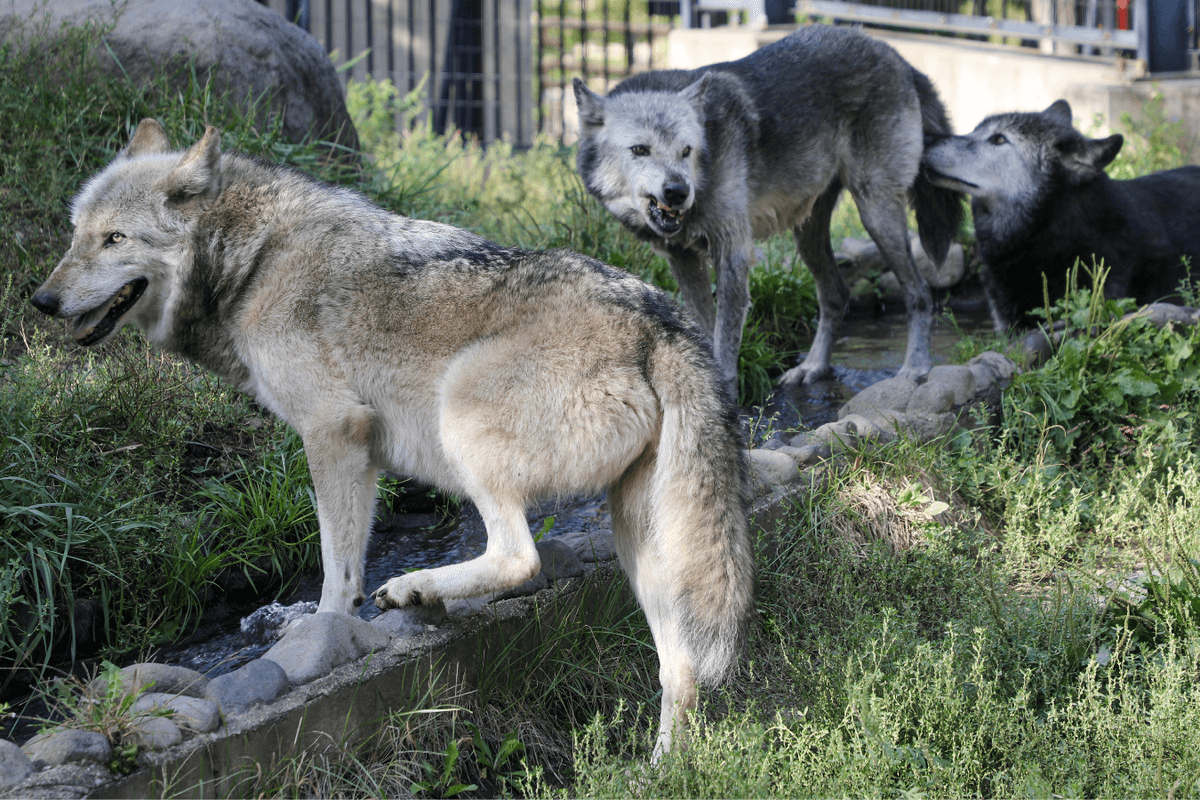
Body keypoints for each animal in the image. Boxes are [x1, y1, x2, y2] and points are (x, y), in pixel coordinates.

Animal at [30, 119, 755, 759]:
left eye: (114, 238)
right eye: (75, 234)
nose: (40, 301)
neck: (253, 262)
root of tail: (663, 323)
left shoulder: (333, 432)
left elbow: (336, 568)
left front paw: (324, 630)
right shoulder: (361, 453)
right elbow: (343, 558)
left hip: (461, 420)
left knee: (521, 559)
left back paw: (416, 588)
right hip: (646, 551)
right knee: (679, 671)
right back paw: (660, 767)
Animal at [573, 24, 964, 396]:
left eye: (686, 150)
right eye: (640, 150)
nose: (679, 191)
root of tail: (898, 56)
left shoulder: (732, 252)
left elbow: (724, 344)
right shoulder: (683, 259)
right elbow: (704, 329)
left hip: (876, 213)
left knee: (920, 293)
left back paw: (915, 369)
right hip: (808, 234)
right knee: (836, 294)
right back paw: (813, 368)